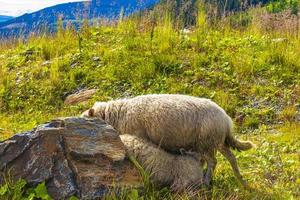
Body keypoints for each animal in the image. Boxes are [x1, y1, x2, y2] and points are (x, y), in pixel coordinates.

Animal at [81, 94, 253, 187]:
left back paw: (206, 180)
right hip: (217, 141)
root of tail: (226, 120)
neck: (118, 115)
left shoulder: (141, 137)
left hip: (206, 142)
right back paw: (240, 180)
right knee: (231, 157)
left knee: (213, 162)